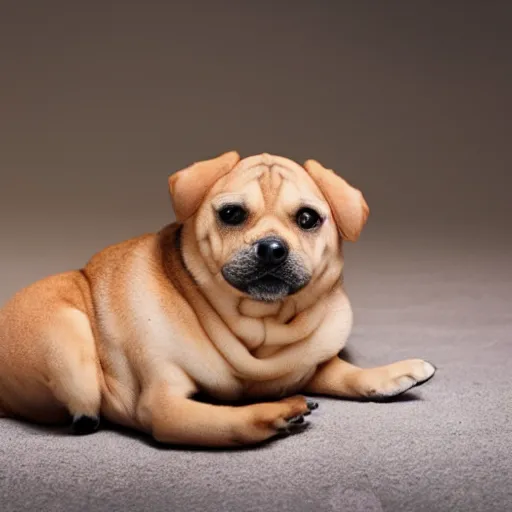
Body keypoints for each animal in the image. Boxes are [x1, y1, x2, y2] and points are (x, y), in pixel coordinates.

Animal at [0, 151, 436, 444]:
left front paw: (389, 374)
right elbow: (229, 421)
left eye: (308, 219)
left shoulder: (310, 366)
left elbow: (343, 372)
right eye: (231, 214)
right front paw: (277, 412)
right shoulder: (164, 407)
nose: (272, 248)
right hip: (70, 340)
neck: (260, 331)